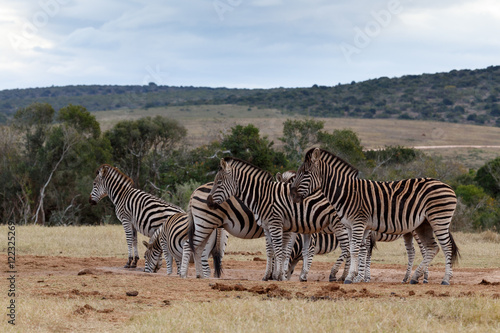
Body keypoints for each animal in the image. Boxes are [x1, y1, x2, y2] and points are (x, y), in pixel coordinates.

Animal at [207, 156, 340, 280]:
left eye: (219, 182)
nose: (208, 202)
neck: (262, 196)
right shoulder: (271, 227)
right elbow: (272, 250)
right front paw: (271, 275)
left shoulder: (285, 227)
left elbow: (284, 250)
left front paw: (280, 275)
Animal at [292, 148, 458, 286]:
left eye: (305, 173)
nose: (292, 194)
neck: (347, 192)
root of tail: (448, 186)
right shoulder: (353, 226)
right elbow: (357, 249)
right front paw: (356, 276)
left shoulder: (358, 223)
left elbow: (355, 249)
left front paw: (350, 277)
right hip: (423, 225)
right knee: (432, 248)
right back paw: (415, 277)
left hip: (438, 220)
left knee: (446, 247)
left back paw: (445, 279)